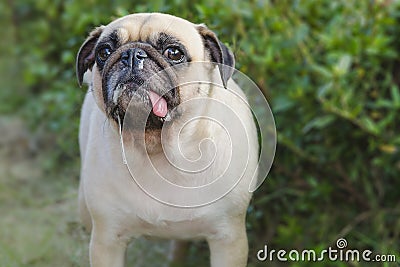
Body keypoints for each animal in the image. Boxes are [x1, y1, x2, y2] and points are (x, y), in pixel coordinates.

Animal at [77, 13, 260, 267]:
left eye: (174, 53)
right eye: (104, 52)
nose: (131, 54)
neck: (160, 148)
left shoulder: (229, 239)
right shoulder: (107, 242)